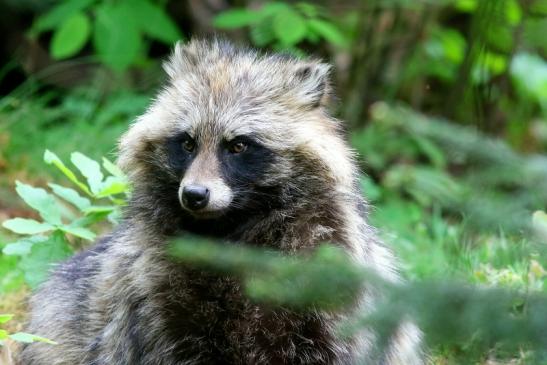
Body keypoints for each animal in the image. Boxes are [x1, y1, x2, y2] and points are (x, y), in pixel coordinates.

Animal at [16, 39, 420, 364]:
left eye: (238, 145)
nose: (194, 195)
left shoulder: (326, 277)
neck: (230, 229)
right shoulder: (152, 293)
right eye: (187, 143)